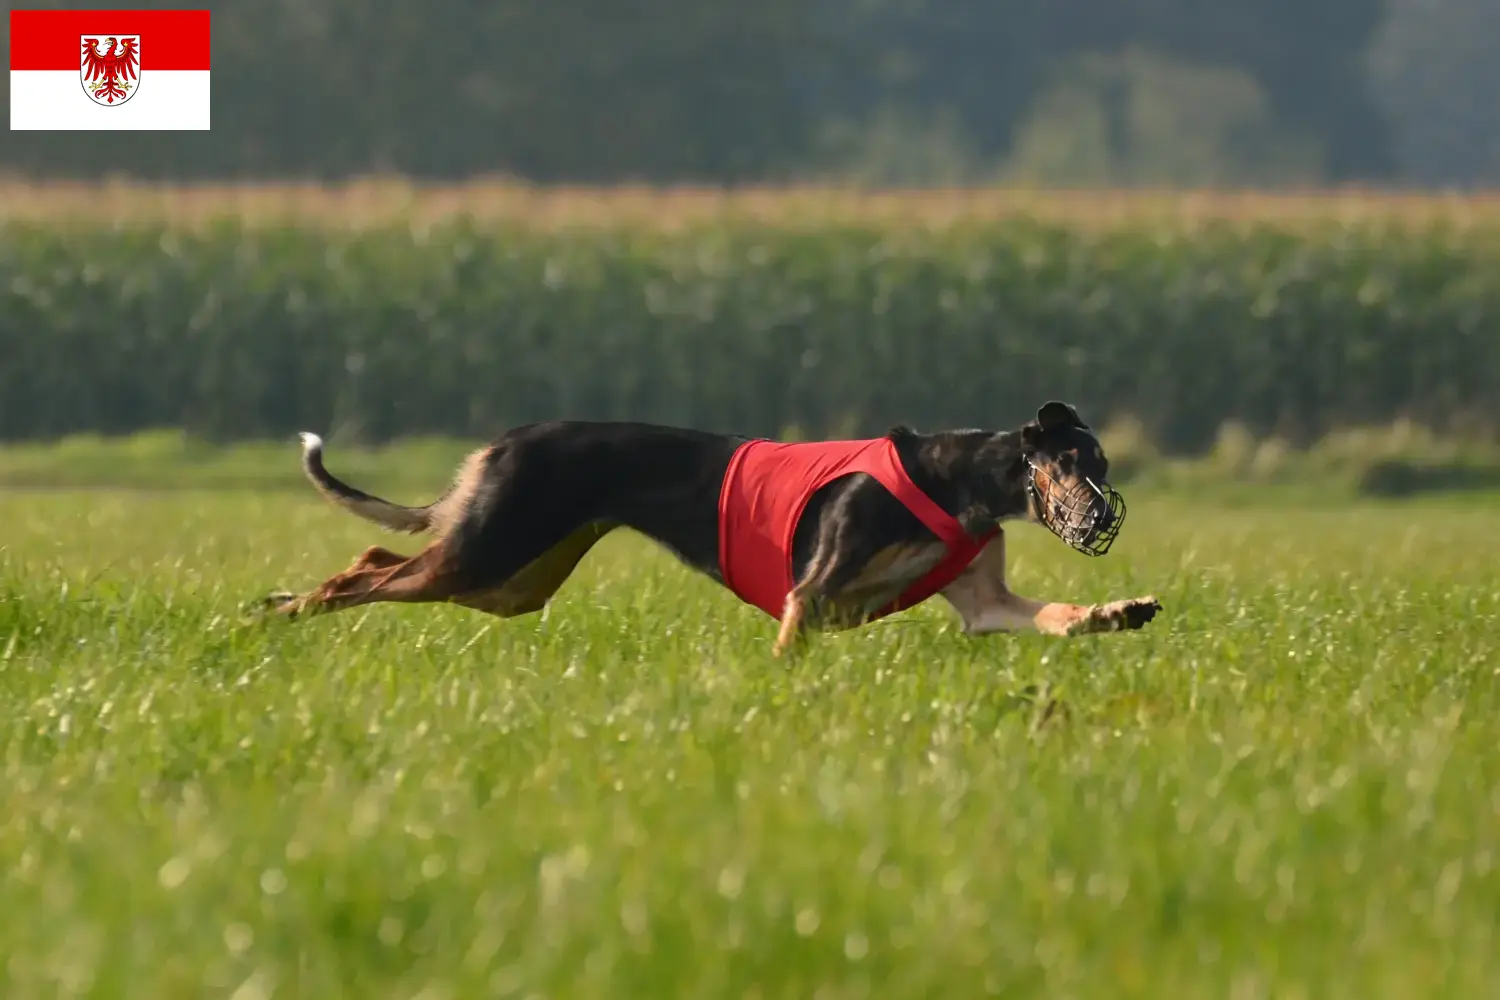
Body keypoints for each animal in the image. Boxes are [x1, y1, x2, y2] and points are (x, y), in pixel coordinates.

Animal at [267, 401, 1158, 653]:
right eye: (1075, 462)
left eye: (1104, 463)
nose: (1100, 519)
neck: (958, 479)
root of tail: (501, 442)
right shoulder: (810, 594)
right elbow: (790, 652)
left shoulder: (985, 606)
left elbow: (1060, 617)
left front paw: (1120, 611)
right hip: (486, 554)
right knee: (365, 567)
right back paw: (283, 611)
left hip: (513, 580)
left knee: (377, 554)